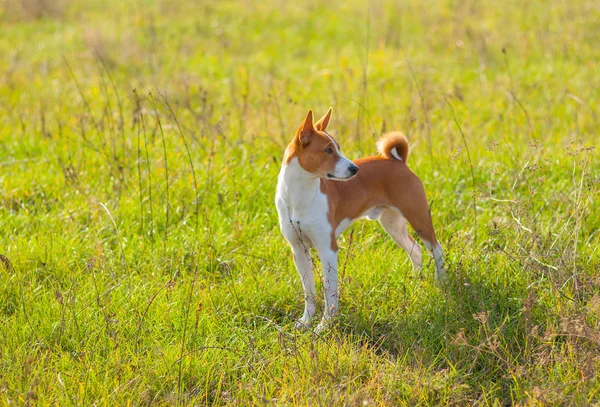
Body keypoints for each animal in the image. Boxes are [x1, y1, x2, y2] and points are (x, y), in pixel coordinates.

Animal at [276, 110, 446, 334]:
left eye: (338, 147)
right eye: (328, 150)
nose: (354, 169)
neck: (299, 197)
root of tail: (398, 161)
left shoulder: (328, 249)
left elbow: (329, 292)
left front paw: (325, 325)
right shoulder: (299, 250)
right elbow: (309, 292)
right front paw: (306, 321)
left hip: (418, 219)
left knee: (437, 249)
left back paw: (442, 282)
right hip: (393, 225)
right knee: (416, 250)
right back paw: (416, 283)